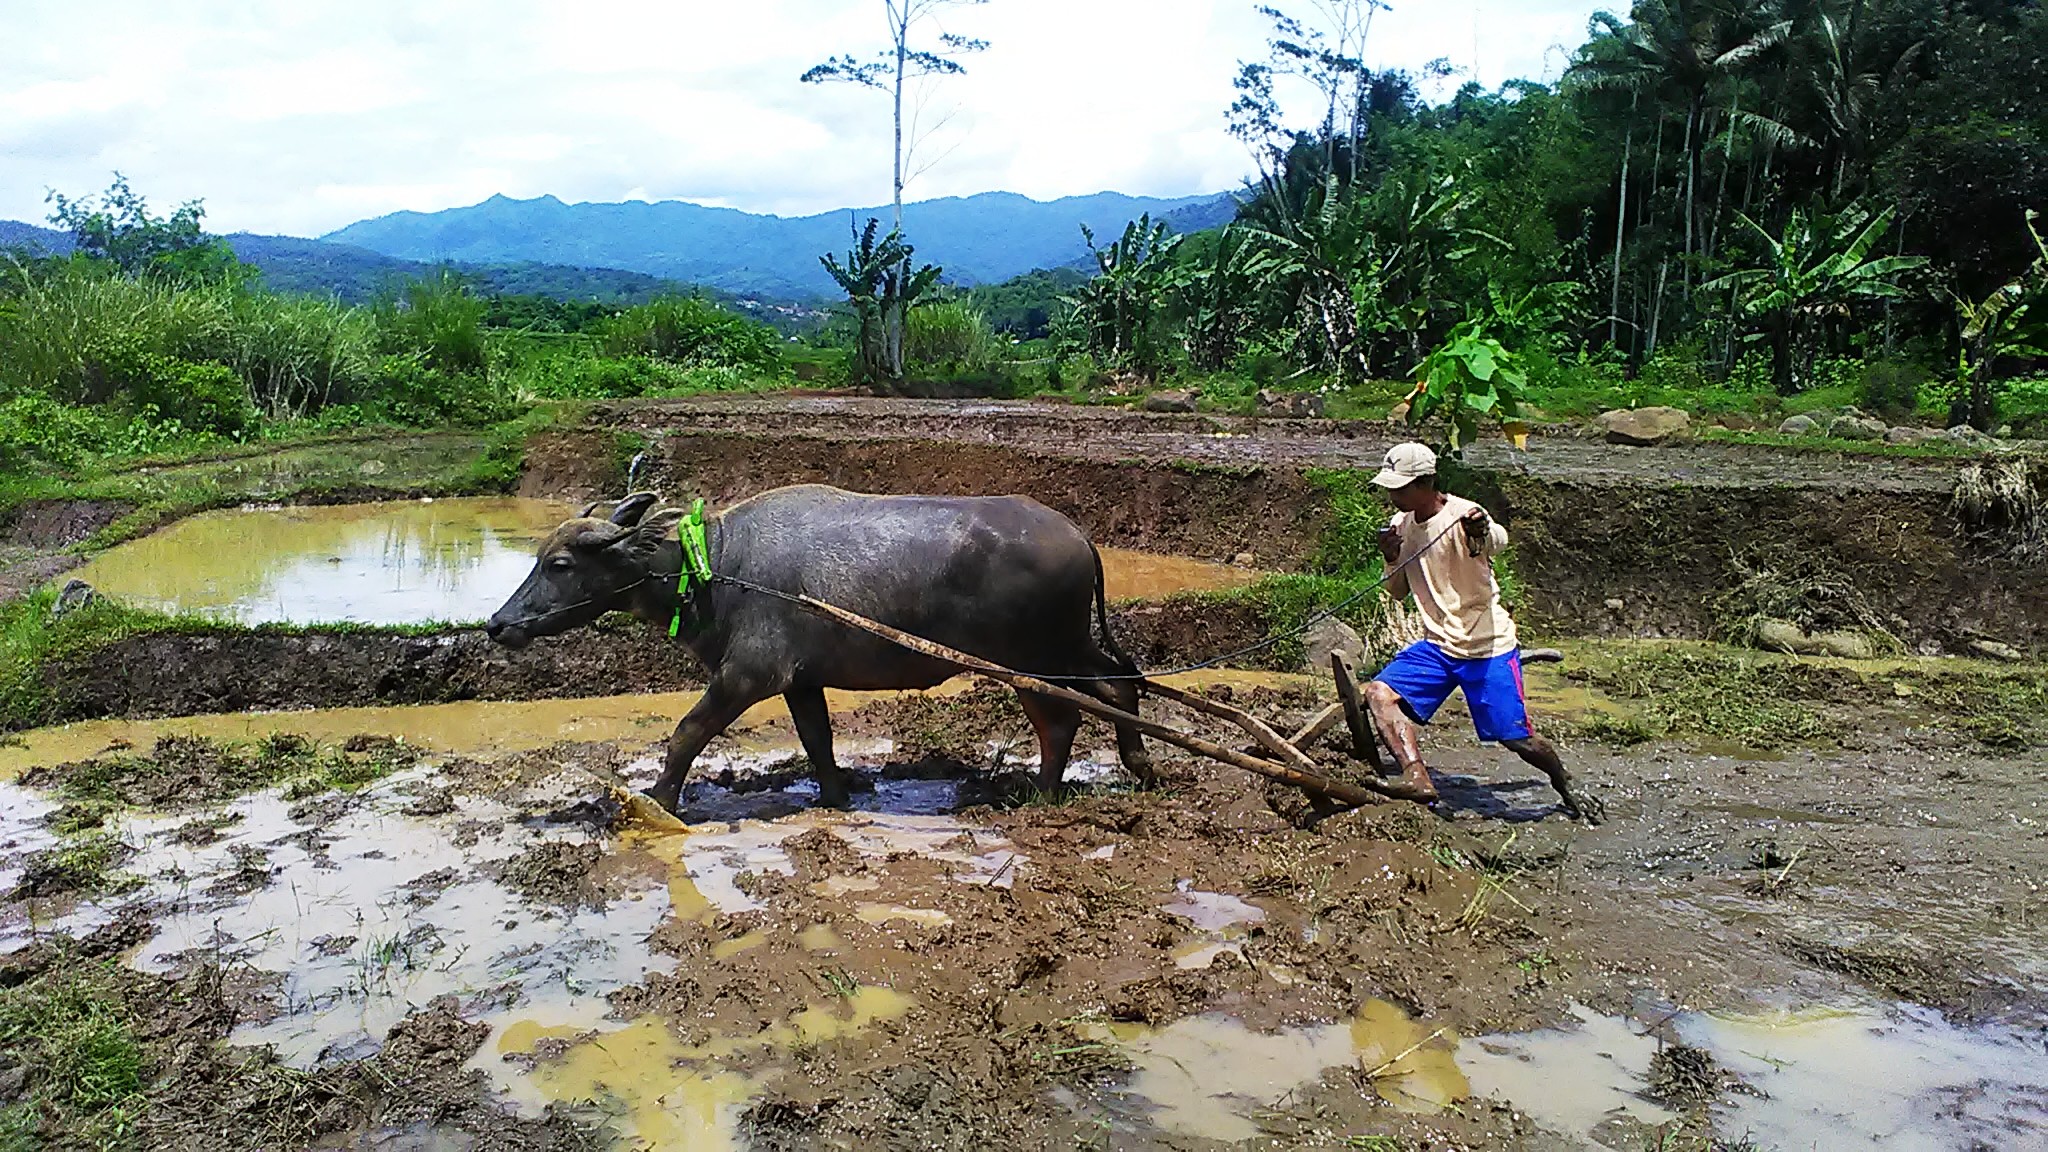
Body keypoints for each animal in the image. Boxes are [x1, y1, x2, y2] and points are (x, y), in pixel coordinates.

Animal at [483, 481, 1155, 807]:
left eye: (560, 563)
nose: (496, 623)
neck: (714, 565)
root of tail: (1079, 536)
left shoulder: (747, 676)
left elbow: (686, 734)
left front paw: (659, 799)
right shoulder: (801, 681)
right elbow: (817, 740)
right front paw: (835, 796)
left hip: (1030, 661)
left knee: (1062, 719)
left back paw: (1041, 794)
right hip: (1068, 647)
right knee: (1121, 683)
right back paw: (1139, 765)